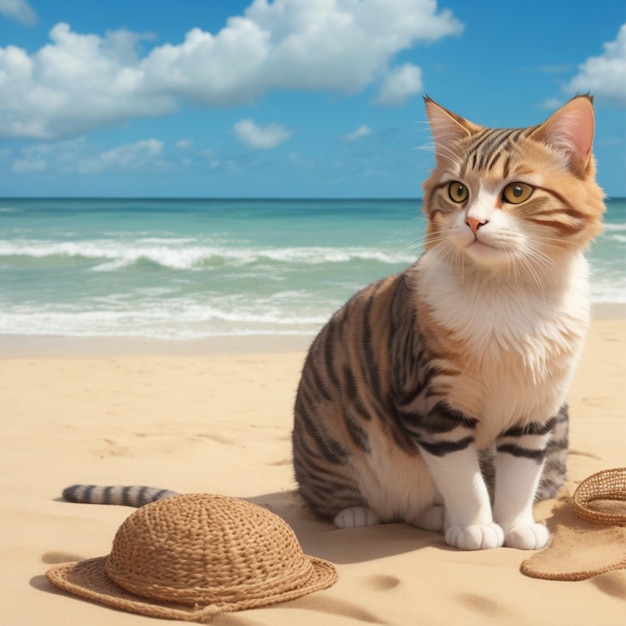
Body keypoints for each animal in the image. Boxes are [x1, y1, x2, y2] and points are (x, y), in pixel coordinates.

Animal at [290, 95, 604, 548]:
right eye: (458, 191)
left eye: (517, 191)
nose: (473, 221)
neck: (510, 291)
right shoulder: (430, 405)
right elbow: (463, 478)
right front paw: (476, 526)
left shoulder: (537, 406)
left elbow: (521, 475)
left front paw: (516, 526)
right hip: (332, 445)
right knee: (345, 500)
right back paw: (360, 513)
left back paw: (434, 515)